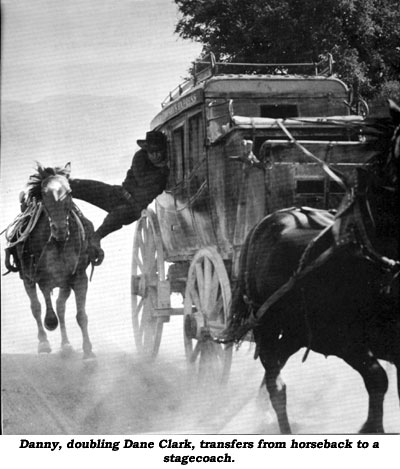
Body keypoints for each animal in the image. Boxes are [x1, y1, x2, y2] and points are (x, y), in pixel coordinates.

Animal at [7, 164, 96, 358]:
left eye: (69, 192)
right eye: (44, 193)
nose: (60, 229)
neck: (60, 243)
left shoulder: (78, 277)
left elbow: (81, 315)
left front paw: (88, 352)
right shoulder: (41, 277)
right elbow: (47, 310)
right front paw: (49, 324)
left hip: (64, 284)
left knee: (60, 307)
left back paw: (66, 344)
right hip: (27, 278)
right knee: (36, 307)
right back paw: (43, 343)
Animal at [222, 100, 400, 434]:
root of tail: (271, 218)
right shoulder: (343, 341)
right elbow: (377, 380)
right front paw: (370, 427)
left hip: (294, 331)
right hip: (267, 325)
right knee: (276, 383)